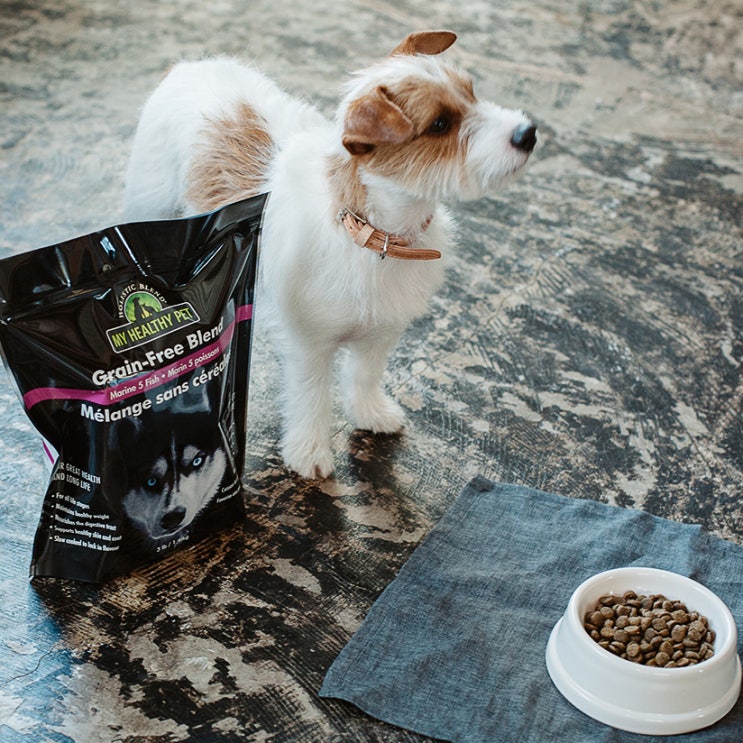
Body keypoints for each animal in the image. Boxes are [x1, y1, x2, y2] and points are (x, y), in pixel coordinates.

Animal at [123, 30, 537, 479]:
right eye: (441, 124)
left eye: (471, 93)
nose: (528, 133)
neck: (371, 232)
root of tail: (185, 67)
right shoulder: (310, 346)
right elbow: (311, 396)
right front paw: (309, 452)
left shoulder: (382, 330)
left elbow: (365, 374)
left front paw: (370, 413)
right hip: (152, 210)